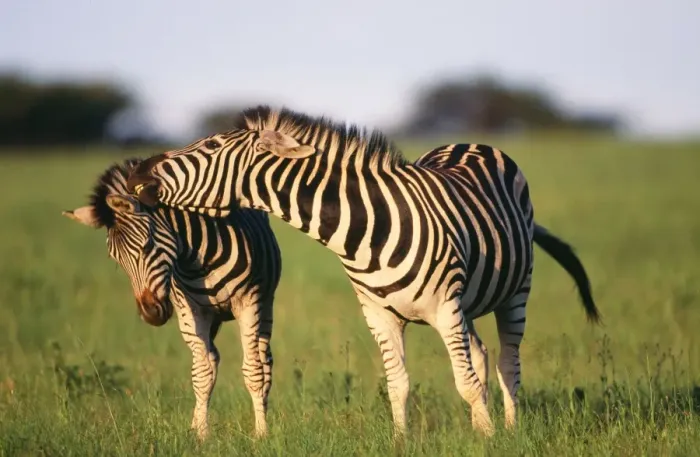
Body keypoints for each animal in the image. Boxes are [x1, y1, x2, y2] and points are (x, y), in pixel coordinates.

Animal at [62, 158, 282, 439]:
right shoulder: (191, 310)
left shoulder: (248, 303)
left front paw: (261, 434)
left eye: (146, 245)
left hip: (264, 306)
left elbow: (253, 371)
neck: (197, 258)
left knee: (264, 361)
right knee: (209, 360)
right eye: (115, 259)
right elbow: (201, 374)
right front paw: (201, 435)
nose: (150, 314)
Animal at [126, 106, 600, 437]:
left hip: (515, 291)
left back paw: (509, 429)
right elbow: (399, 384)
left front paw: (485, 440)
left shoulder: (445, 308)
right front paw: (403, 442)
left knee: (507, 364)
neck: (366, 229)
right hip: (468, 305)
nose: (137, 170)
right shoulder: (380, 315)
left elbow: (465, 382)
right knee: (483, 356)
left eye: (209, 148)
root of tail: (473, 143)